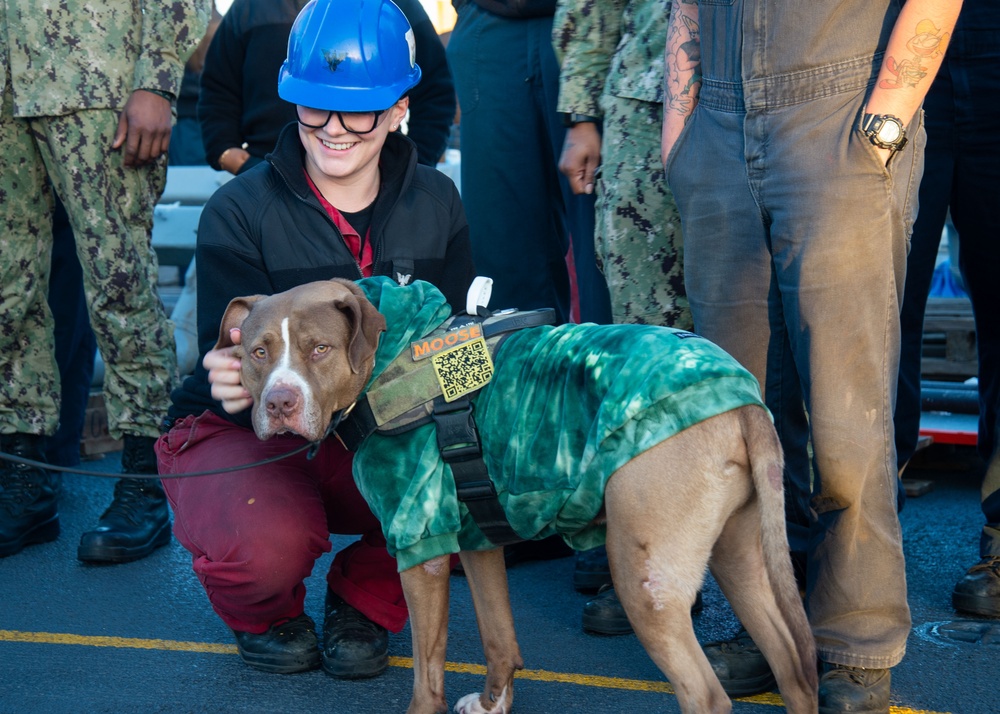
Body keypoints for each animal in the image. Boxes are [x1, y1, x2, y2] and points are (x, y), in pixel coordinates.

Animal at [215, 278, 816, 712]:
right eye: (258, 353)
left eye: (319, 349)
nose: (281, 404)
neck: (386, 358)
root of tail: (742, 396)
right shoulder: (478, 537)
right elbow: (499, 636)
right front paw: (491, 704)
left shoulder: (420, 542)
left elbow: (427, 670)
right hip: (741, 557)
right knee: (794, 670)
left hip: (645, 581)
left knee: (707, 695)